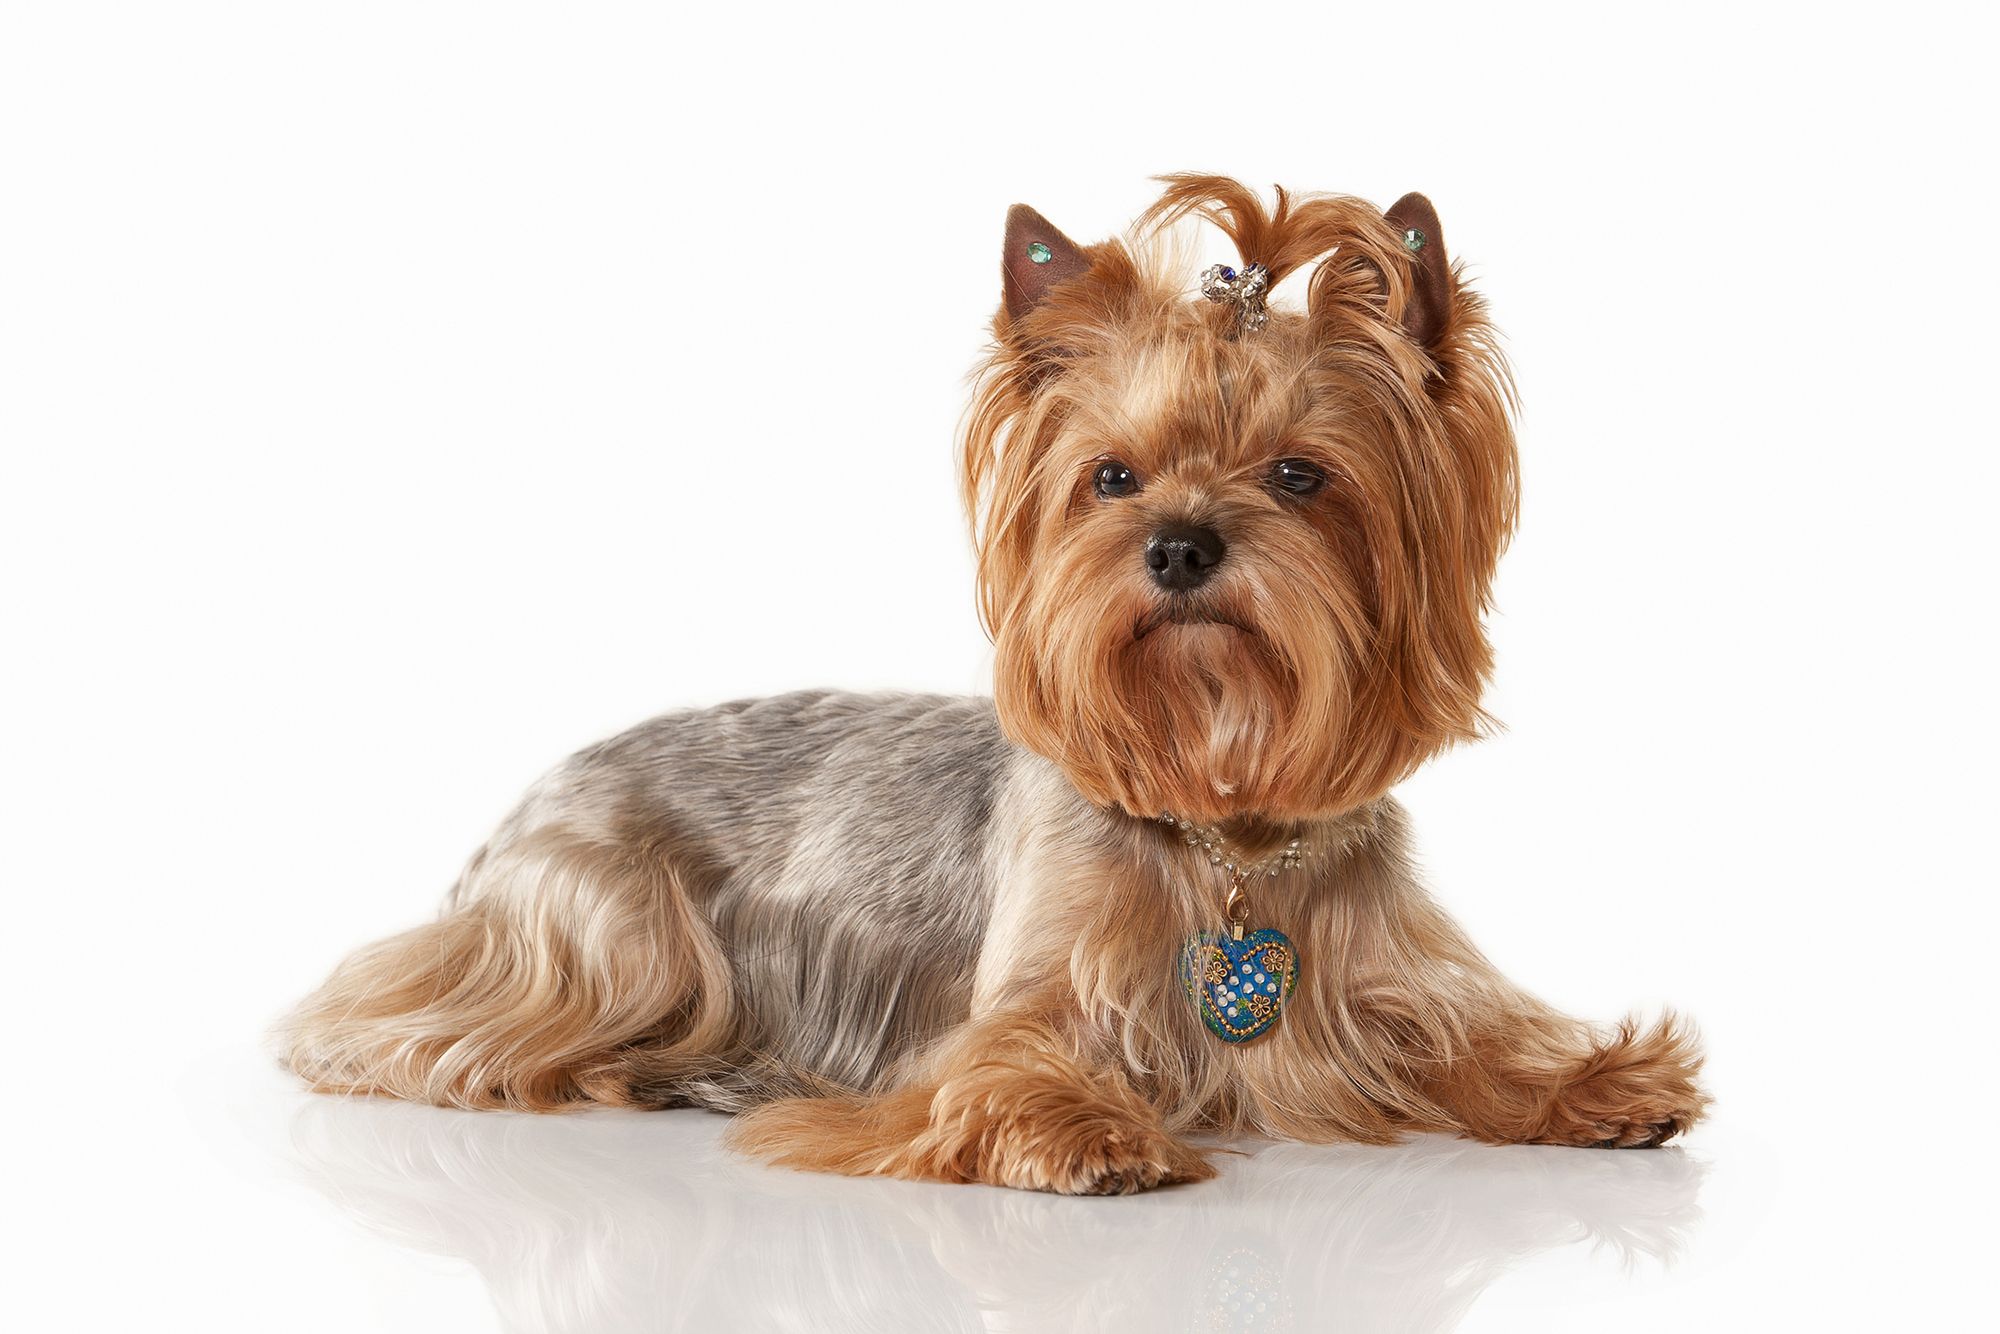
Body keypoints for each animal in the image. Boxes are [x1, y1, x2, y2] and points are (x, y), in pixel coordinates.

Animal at [282, 175, 1712, 1192]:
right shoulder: (1015, 1005)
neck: (1224, 815)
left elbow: (1474, 1037)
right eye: (1111, 475)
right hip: (602, 924)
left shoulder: (1385, 981)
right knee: (407, 1027)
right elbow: (1005, 1062)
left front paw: (1600, 1084)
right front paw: (1086, 1129)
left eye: (1301, 474)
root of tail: (527, 797)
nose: (1177, 544)